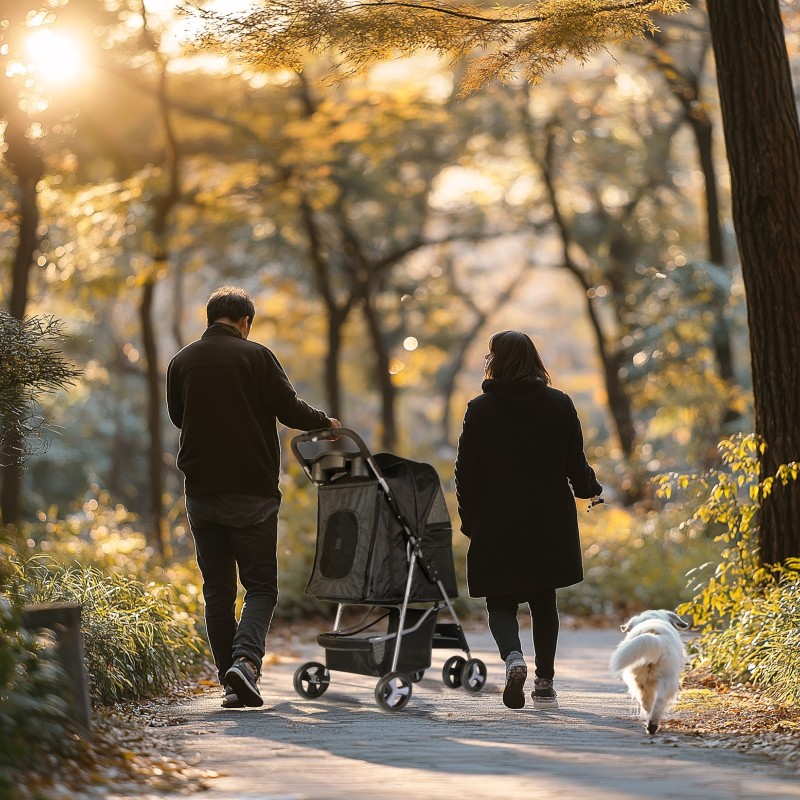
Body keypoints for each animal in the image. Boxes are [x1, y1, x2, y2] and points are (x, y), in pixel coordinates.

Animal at [608, 608, 688, 736]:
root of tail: (654, 635)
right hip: (668, 680)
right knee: (659, 701)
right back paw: (653, 725)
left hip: (639, 680)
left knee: (647, 701)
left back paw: (650, 724)